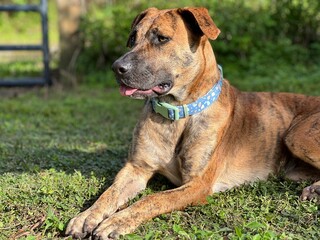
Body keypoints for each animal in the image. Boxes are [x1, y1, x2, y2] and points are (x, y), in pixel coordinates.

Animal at [65, 6, 320, 239]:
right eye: (133, 38)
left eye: (162, 38)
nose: (117, 68)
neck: (178, 113)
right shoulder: (136, 168)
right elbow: (109, 193)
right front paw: (86, 216)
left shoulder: (197, 185)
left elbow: (153, 199)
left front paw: (117, 221)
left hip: (297, 136)